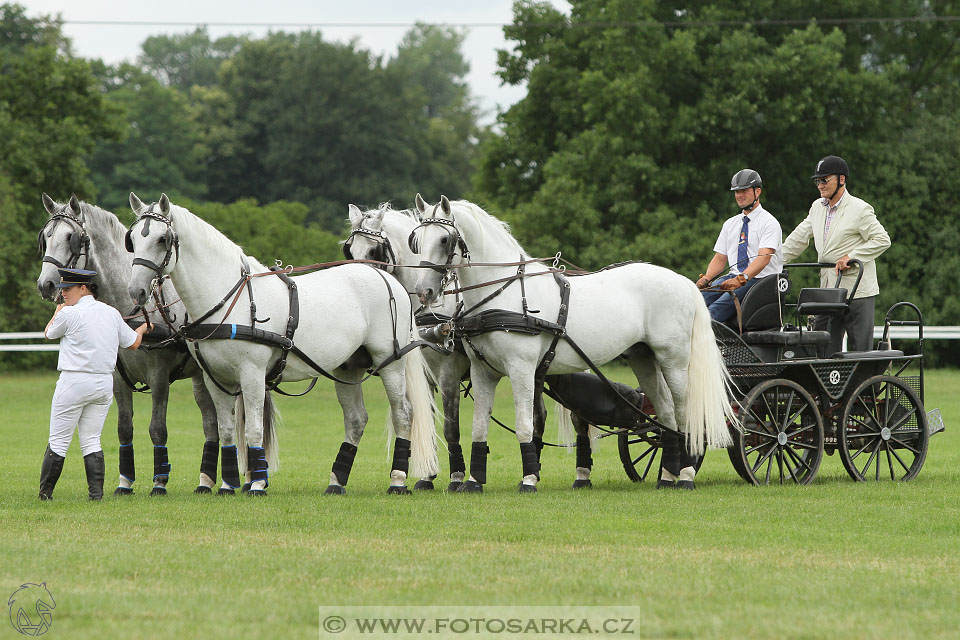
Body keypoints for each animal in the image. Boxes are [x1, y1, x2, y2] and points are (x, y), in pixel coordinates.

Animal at [125, 192, 436, 492]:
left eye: (162, 239)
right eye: (132, 240)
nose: (135, 291)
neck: (230, 298)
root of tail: (384, 276)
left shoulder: (251, 374)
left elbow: (253, 430)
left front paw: (257, 484)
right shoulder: (216, 379)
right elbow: (226, 430)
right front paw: (227, 485)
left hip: (391, 363)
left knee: (403, 414)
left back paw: (397, 480)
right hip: (349, 367)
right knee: (356, 419)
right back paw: (336, 482)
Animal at [410, 195, 736, 490]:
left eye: (444, 239)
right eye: (417, 240)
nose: (424, 292)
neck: (506, 294)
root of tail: (684, 282)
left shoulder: (521, 369)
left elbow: (525, 425)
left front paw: (528, 480)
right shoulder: (482, 372)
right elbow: (478, 426)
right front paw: (473, 481)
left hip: (674, 360)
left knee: (684, 414)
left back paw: (686, 475)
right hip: (644, 358)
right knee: (665, 413)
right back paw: (667, 476)